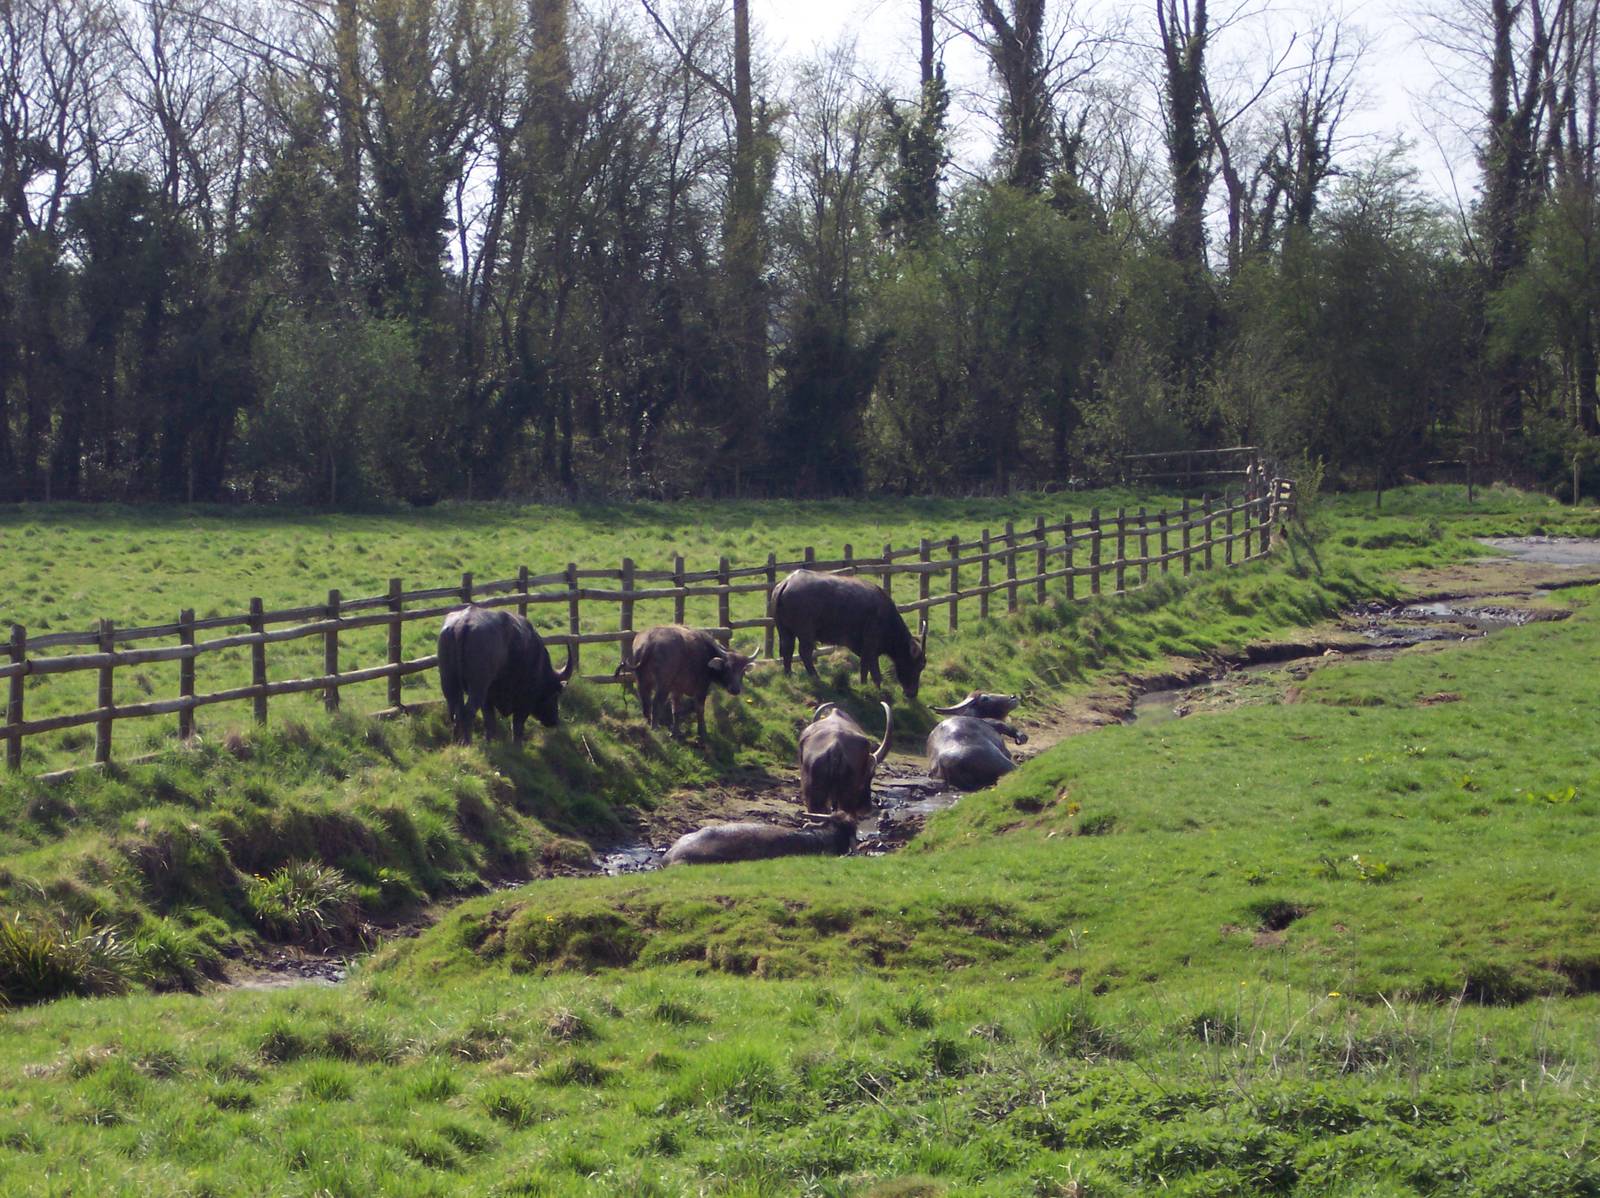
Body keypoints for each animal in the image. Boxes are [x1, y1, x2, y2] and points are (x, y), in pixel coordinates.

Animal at [437, 605, 576, 744]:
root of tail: (462, 624)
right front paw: (517, 745)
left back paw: (457, 742)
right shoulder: (525, 699)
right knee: (467, 711)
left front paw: (490, 742)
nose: (554, 721)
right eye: (555, 694)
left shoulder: (488, 699)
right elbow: (517, 724)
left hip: (448, 681)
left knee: (455, 710)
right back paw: (467, 743)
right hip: (477, 686)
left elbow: (490, 721)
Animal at [617, 625, 757, 740]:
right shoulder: (701, 688)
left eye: (743, 670)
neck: (706, 655)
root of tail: (649, 642)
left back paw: (647, 724)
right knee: (656, 703)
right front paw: (702, 732)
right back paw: (655, 728)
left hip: (642, 680)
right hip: (663, 684)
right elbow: (699, 709)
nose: (735, 689)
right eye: (728, 668)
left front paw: (675, 732)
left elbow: (676, 709)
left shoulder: (677, 689)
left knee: (645, 701)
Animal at [769, 569, 927, 698]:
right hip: (806, 633)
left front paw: (865, 686)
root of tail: (786, 583)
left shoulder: (865, 649)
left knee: (787, 649)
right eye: (919, 665)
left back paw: (788, 674)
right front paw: (877, 691)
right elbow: (874, 672)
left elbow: (865, 668)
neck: (886, 618)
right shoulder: (871, 646)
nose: (912, 693)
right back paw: (815, 677)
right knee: (804, 652)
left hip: (784, 630)